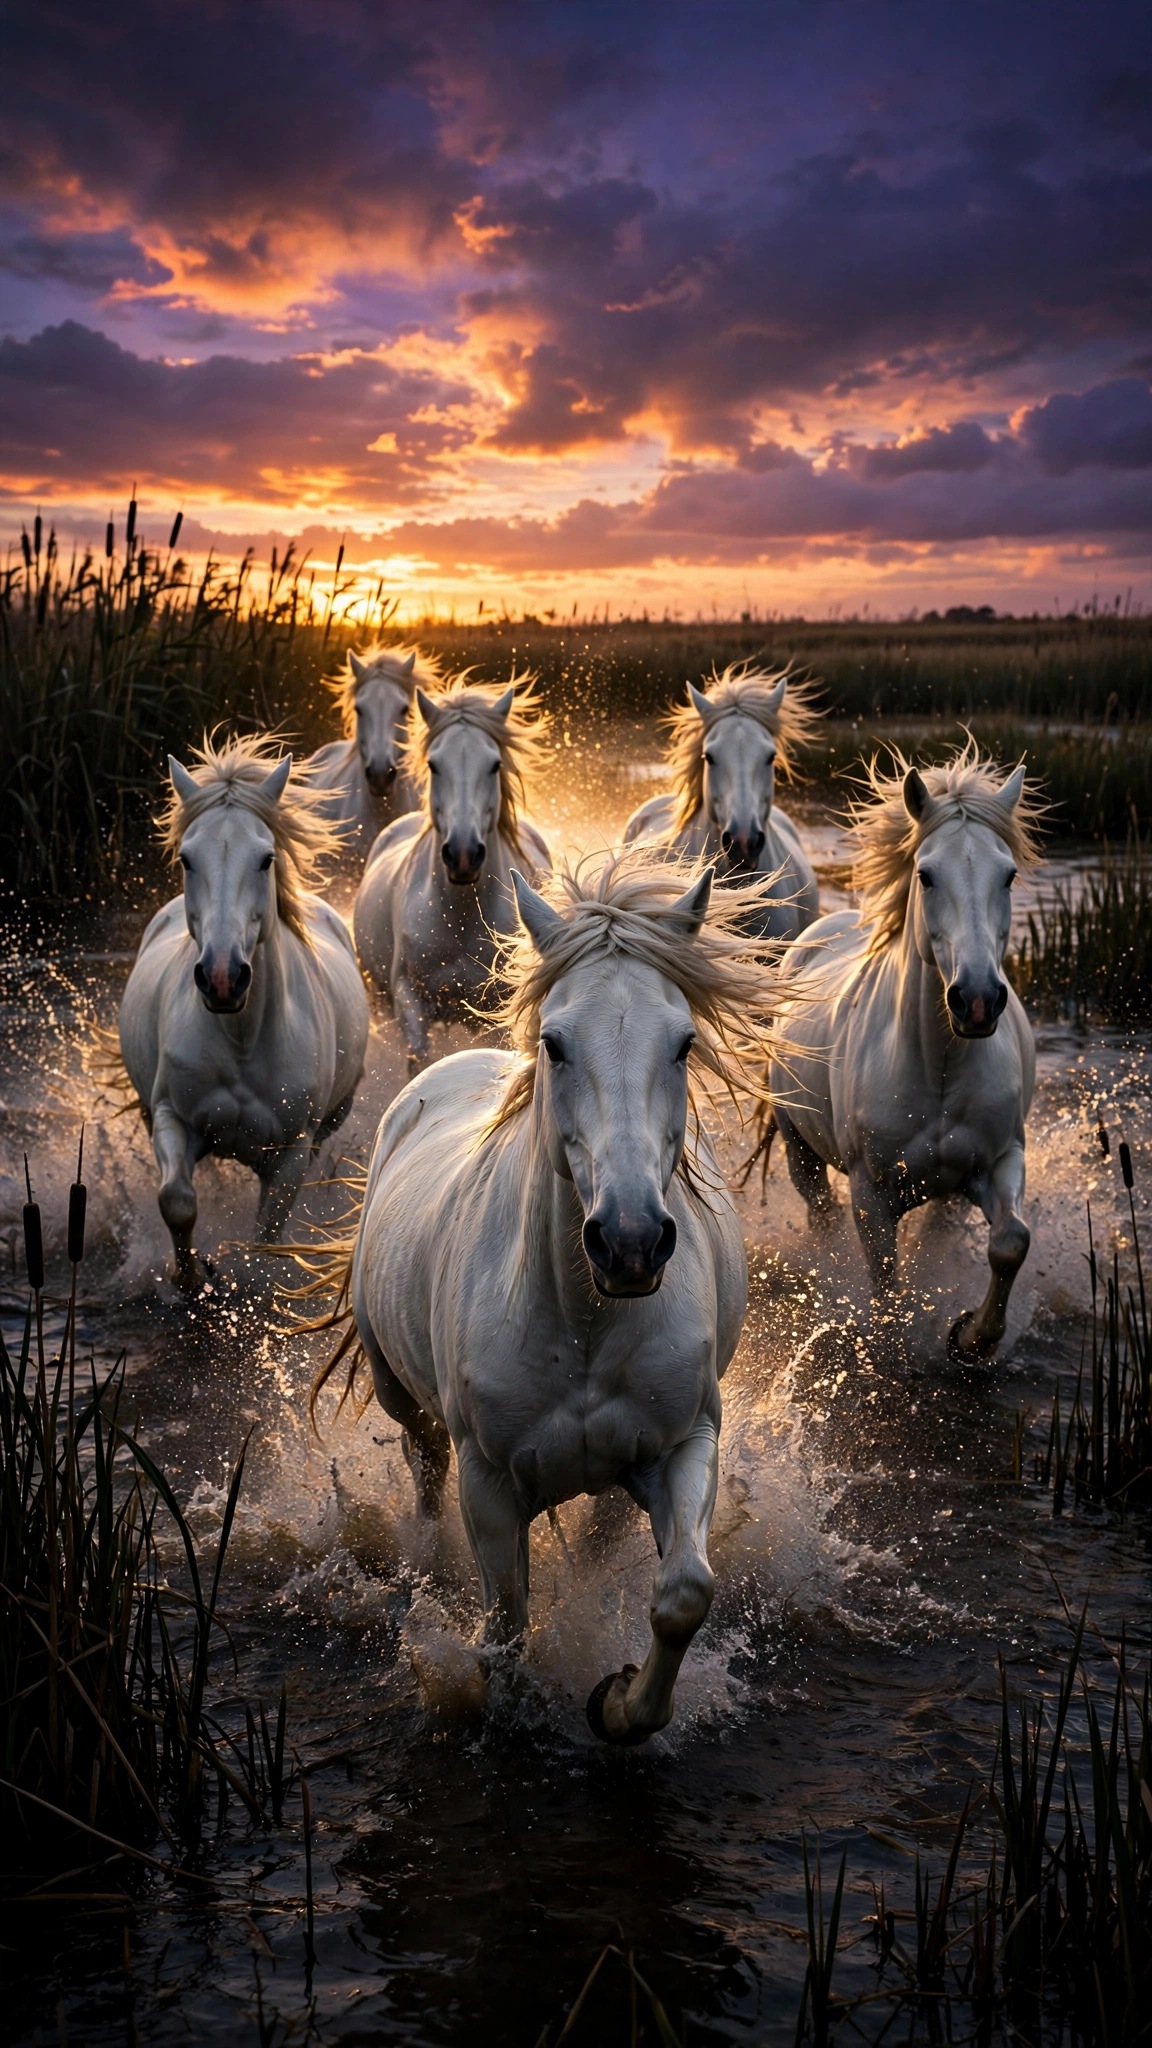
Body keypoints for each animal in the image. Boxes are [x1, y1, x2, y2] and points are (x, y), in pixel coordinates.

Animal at [119, 734, 370, 1288]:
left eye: (265, 858)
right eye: (187, 859)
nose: (222, 976)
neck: (241, 1039)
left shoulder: (291, 1154)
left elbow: (265, 1241)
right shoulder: (170, 1117)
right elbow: (178, 1201)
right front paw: (191, 1280)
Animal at [313, 853, 785, 1744]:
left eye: (684, 1042)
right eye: (556, 1042)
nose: (630, 1240)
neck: (583, 1325)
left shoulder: (684, 1443)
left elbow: (682, 1594)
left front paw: (620, 1703)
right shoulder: (490, 1485)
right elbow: (505, 1627)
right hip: (402, 1398)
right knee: (423, 1467)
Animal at [353, 673, 552, 1071]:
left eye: (494, 764)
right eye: (433, 764)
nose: (463, 854)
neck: (459, 916)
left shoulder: (495, 1012)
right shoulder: (409, 1001)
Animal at [766, 742, 1043, 1357]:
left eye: (1009, 874)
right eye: (926, 874)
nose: (978, 1000)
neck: (937, 1067)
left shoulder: (1001, 1161)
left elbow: (1011, 1242)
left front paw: (971, 1338)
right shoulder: (870, 1195)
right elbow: (887, 1288)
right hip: (799, 1148)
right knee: (821, 1215)